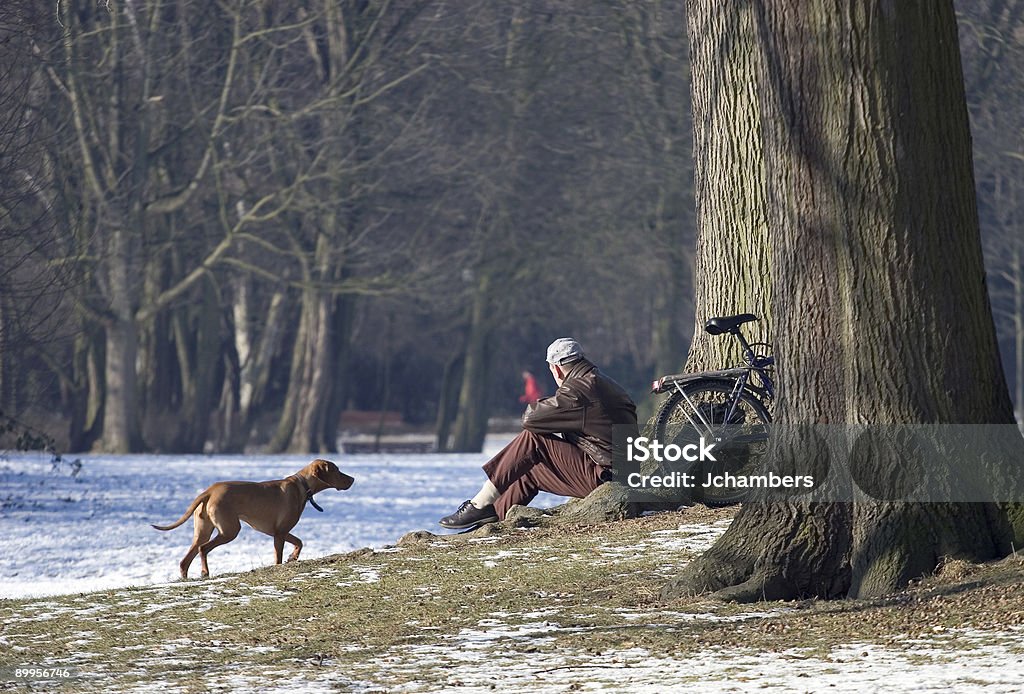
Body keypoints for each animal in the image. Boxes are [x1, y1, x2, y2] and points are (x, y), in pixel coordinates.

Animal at [151, 458, 356, 577]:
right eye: (336, 470)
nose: (353, 479)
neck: (302, 484)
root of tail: (209, 490)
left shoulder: (279, 531)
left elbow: (299, 542)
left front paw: (293, 557)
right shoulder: (280, 534)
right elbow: (278, 557)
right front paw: (285, 561)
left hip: (203, 531)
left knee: (185, 560)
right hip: (230, 530)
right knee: (203, 549)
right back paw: (204, 572)